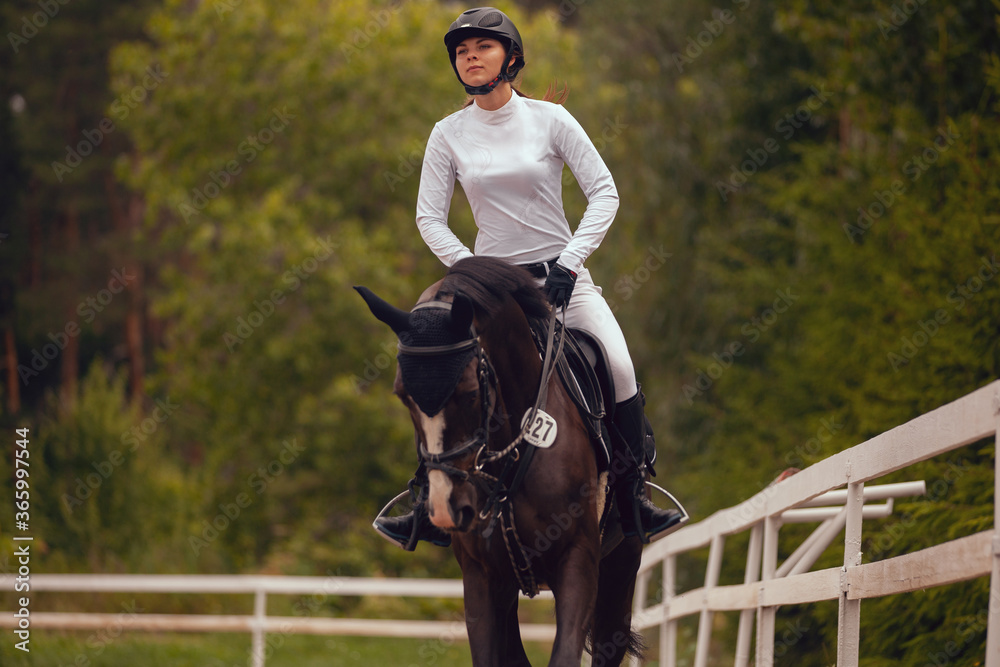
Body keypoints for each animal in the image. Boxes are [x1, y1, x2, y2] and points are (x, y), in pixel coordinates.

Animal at [356, 258, 644, 667]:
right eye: (402, 395)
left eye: (470, 393)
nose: (447, 508)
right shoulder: (483, 577)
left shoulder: (578, 562)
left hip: (620, 571)